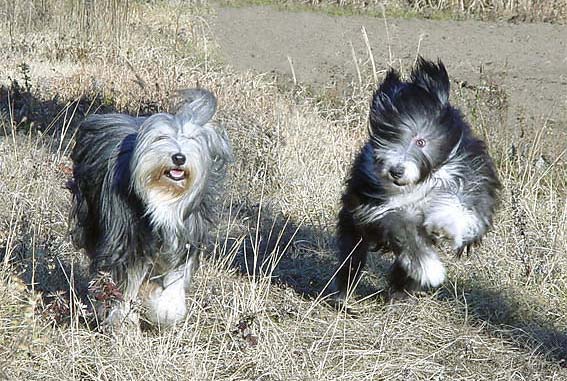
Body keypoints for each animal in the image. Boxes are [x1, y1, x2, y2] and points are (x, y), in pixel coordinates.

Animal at [70, 89, 232, 326]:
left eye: (191, 139)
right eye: (161, 138)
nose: (179, 157)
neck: (164, 196)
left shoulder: (184, 239)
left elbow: (175, 278)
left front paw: (166, 310)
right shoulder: (125, 243)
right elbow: (124, 281)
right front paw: (122, 318)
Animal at [332, 57, 502, 300]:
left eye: (420, 141)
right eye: (386, 136)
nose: (396, 171)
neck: (420, 182)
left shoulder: (473, 177)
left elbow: (464, 204)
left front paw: (445, 223)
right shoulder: (379, 209)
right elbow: (405, 235)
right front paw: (431, 271)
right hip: (354, 224)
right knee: (352, 256)